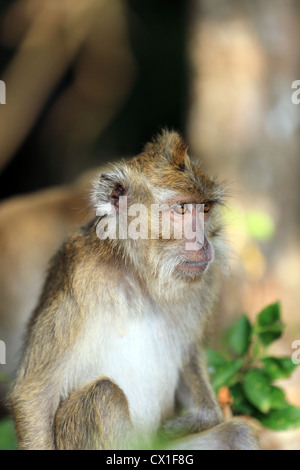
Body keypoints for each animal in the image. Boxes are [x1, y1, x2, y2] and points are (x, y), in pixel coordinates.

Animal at [10, 130, 262, 450]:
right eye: (182, 208)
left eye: (204, 209)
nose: (203, 243)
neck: (140, 275)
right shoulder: (79, 274)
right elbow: (36, 393)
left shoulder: (203, 283)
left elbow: (189, 352)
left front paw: (203, 416)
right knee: (103, 396)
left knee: (238, 434)